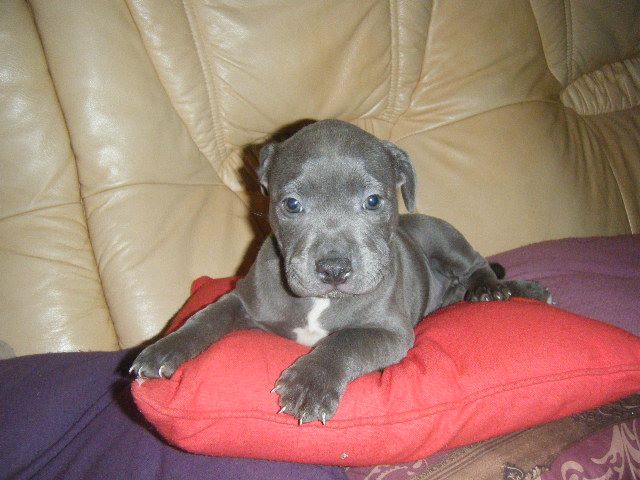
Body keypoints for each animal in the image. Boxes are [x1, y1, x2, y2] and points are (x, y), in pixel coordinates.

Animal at [131, 119, 551, 425]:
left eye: (373, 201)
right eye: (292, 204)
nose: (333, 268)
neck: (321, 301)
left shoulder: (388, 331)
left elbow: (345, 341)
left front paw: (310, 385)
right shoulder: (242, 300)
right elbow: (205, 317)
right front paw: (163, 349)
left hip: (442, 236)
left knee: (479, 265)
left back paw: (504, 289)